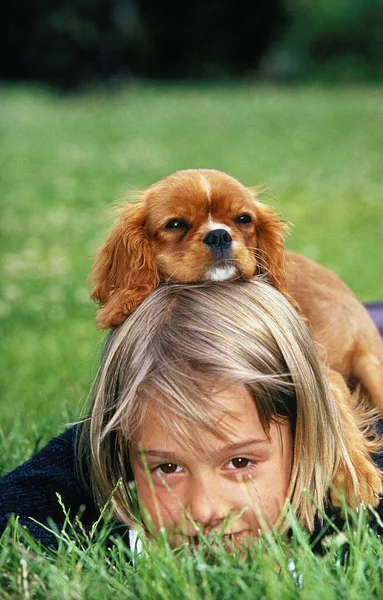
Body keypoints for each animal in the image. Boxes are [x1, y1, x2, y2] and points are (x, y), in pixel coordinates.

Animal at [91, 169, 383, 506]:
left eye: (243, 219)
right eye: (175, 224)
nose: (219, 235)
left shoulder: (321, 371)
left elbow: (334, 411)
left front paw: (354, 476)